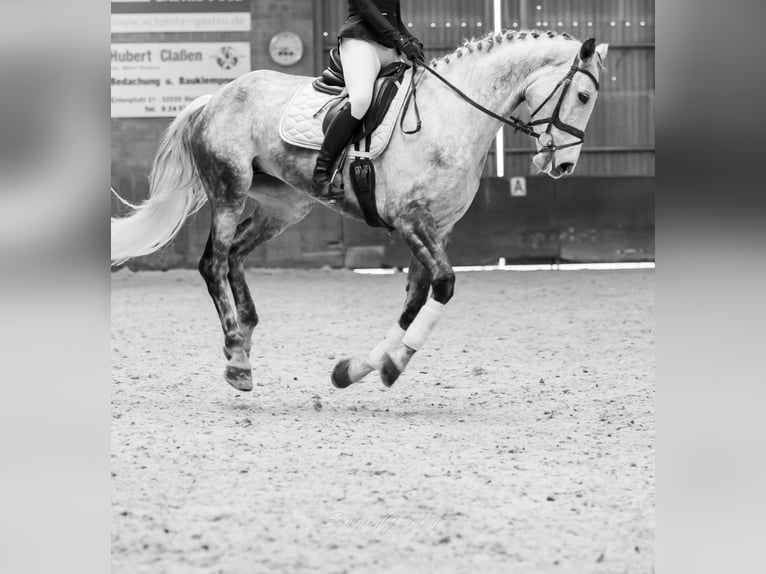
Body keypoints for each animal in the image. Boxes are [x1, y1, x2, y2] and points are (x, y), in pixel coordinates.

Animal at [111, 30, 608, 392]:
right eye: (584, 97)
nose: (563, 166)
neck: (452, 116)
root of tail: (211, 98)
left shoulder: (439, 229)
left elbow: (414, 300)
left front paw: (362, 369)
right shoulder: (411, 220)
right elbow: (444, 286)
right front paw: (392, 364)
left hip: (286, 206)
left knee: (233, 255)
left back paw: (246, 339)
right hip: (230, 189)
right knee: (212, 262)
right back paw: (236, 358)